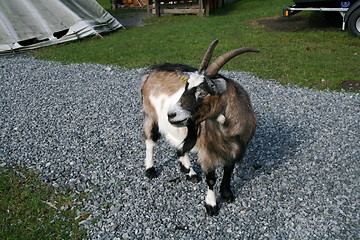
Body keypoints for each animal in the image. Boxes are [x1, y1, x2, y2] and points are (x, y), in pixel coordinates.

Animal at [141, 39, 258, 216]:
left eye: (203, 93)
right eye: (186, 87)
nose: (171, 115)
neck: (227, 131)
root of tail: (150, 73)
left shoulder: (235, 148)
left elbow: (229, 171)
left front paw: (227, 194)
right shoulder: (207, 152)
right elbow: (211, 178)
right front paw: (211, 205)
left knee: (180, 147)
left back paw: (190, 173)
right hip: (151, 116)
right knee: (150, 142)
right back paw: (150, 170)